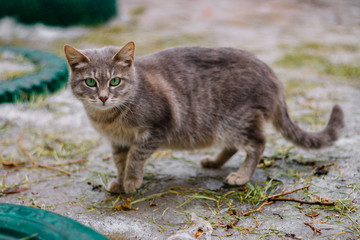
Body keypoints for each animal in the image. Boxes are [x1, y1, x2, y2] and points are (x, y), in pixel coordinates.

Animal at [63, 42, 344, 194]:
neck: (109, 119)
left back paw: (241, 176)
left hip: (235, 121)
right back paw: (214, 162)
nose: (103, 97)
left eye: (115, 81)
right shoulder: (118, 141)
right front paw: (121, 182)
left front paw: (132, 181)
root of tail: (271, 75)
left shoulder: (155, 129)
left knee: (258, 143)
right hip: (224, 126)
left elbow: (135, 158)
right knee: (234, 147)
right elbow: (121, 161)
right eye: (90, 82)